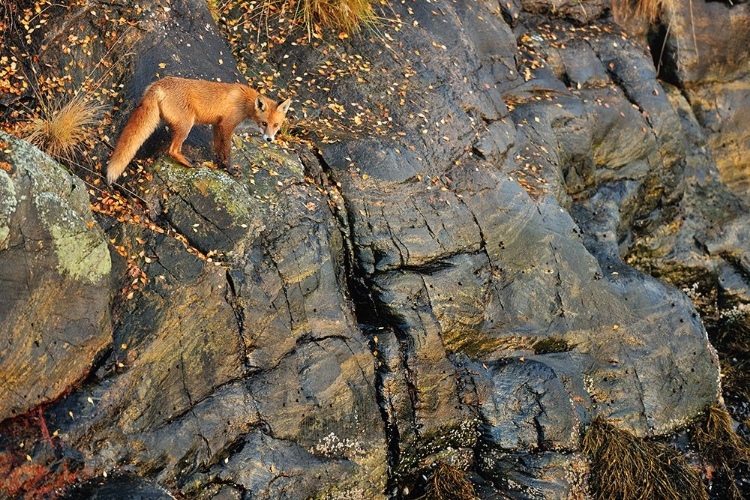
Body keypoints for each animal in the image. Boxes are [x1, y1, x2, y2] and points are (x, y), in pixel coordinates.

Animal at [105, 77, 290, 187]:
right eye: (264, 123)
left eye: (276, 125)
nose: (269, 139)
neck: (245, 102)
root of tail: (158, 84)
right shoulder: (227, 126)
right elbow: (226, 151)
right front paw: (230, 170)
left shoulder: (217, 125)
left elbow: (218, 150)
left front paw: (220, 166)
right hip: (187, 124)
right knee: (173, 150)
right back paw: (190, 163)